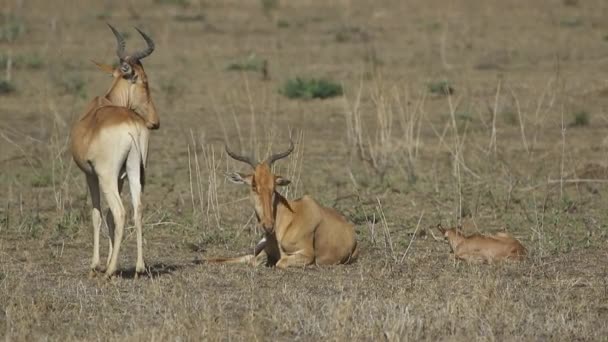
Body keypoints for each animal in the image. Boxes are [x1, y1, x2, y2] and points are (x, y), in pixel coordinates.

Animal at [70, 24, 159, 278]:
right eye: (144, 81)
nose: (155, 122)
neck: (105, 103)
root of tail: (130, 125)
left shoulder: (91, 175)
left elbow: (98, 214)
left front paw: (97, 264)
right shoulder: (121, 176)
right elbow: (108, 216)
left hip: (107, 176)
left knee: (120, 212)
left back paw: (109, 271)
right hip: (136, 171)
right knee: (137, 208)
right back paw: (139, 267)